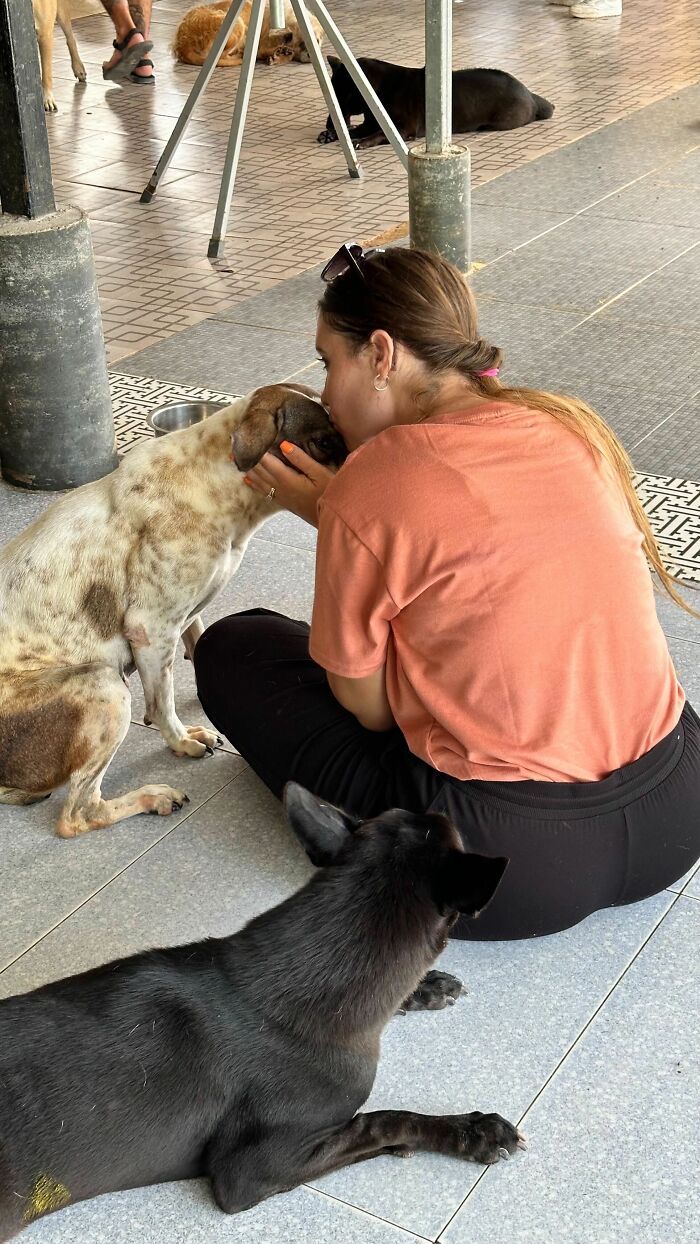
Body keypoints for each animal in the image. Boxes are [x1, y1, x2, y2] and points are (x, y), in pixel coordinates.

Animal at [0, 383, 345, 840]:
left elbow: (193, 651)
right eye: (323, 441)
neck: (216, 480)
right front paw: (181, 741)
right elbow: (162, 702)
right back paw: (153, 797)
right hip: (104, 686)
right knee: (79, 814)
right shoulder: (152, 628)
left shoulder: (184, 616)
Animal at [172, 0, 323, 68]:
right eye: (315, 41)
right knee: (223, 56)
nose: (310, 56)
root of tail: (182, 45)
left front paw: (280, 55)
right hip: (237, 24)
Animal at [320, 56, 557, 149]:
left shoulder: (404, 128)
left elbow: (377, 134)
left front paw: (361, 141)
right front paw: (333, 135)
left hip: (500, 121)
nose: (329, 124)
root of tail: (531, 95)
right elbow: (354, 129)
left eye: (340, 95)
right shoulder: (370, 122)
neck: (379, 89)